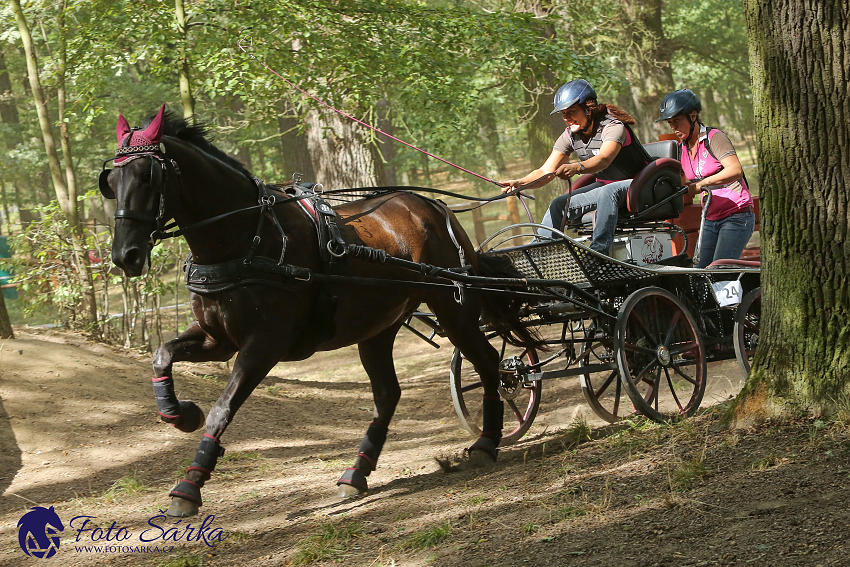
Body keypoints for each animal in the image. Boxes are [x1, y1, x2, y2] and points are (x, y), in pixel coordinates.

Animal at [101, 106, 536, 520]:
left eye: (147, 176)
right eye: (111, 180)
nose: (125, 256)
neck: (248, 236)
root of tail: (434, 206)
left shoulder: (264, 345)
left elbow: (222, 409)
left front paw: (189, 487)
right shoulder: (218, 340)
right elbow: (162, 355)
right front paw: (181, 414)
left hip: (453, 308)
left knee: (487, 361)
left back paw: (486, 443)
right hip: (378, 327)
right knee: (387, 393)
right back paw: (356, 472)